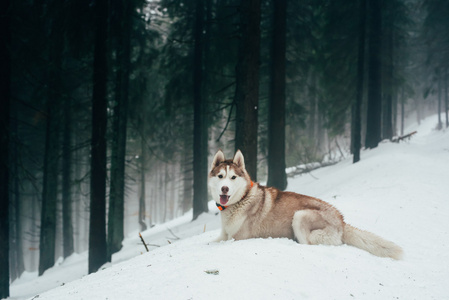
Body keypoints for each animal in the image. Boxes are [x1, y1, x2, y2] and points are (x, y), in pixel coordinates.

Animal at [209, 150, 402, 260]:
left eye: (233, 177)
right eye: (220, 176)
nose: (225, 188)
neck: (242, 199)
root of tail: (341, 220)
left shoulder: (237, 239)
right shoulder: (224, 236)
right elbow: (209, 242)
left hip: (300, 216)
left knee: (308, 245)